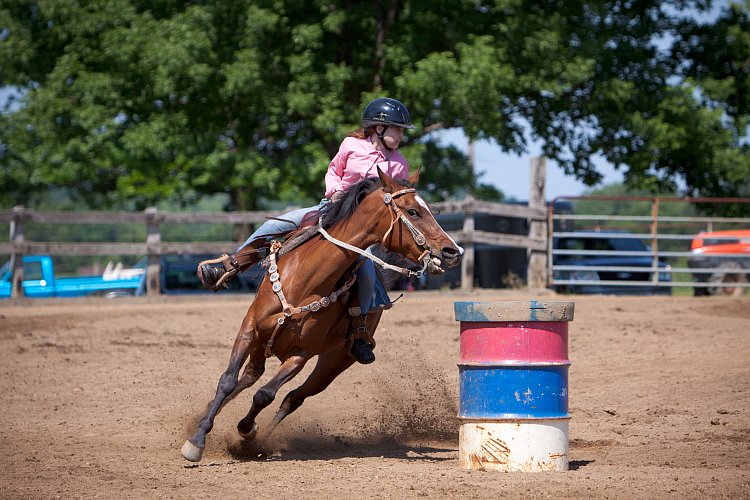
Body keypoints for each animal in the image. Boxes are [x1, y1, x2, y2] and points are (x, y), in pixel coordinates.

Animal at [181, 168, 464, 460]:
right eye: (413, 211)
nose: (452, 251)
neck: (305, 280)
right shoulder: (250, 328)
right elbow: (227, 381)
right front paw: (197, 439)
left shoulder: (301, 354)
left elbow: (265, 395)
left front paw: (247, 431)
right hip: (263, 345)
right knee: (248, 378)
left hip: (333, 363)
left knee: (291, 397)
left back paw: (262, 437)